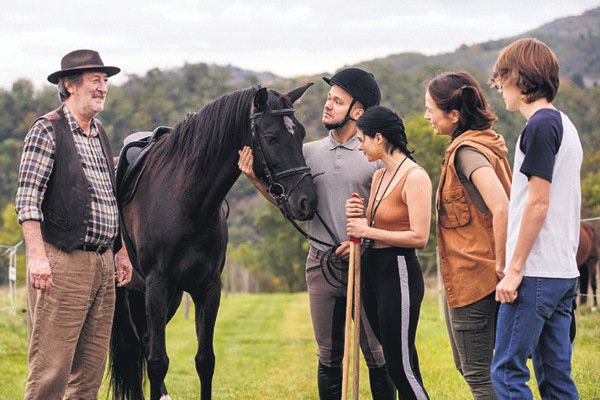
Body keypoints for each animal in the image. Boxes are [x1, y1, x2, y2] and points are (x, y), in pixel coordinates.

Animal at [109, 83, 318, 398]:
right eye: (271, 137)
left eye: (302, 134)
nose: (306, 201)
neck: (184, 200)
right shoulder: (157, 285)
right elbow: (158, 363)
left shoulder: (208, 287)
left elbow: (205, 360)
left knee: (143, 342)